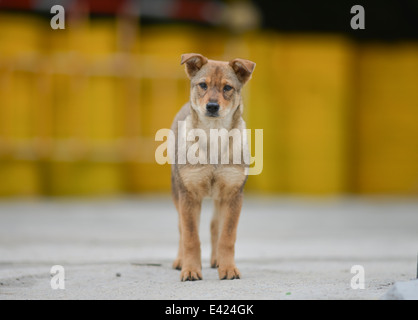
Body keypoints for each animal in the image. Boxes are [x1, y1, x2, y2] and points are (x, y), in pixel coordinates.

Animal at [170, 53, 255, 282]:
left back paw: (216, 261)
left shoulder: (233, 194)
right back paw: (180, 261)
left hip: (218, 197)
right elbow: (190, 236)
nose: (212, 106)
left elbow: (227, 235)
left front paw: (228, 269)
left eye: (227, 87)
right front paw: (190, 270)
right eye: (203, 85)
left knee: (214, 225)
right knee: (181, 228)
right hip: (177, 191)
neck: (214, 136)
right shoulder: (189, 195)